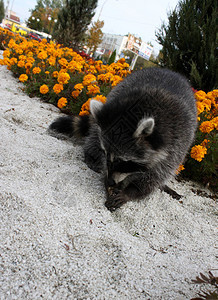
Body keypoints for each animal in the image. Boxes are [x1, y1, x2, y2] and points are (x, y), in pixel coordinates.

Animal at [49, 68, 198, 211]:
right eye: (105, 154)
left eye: (122, 161)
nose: (110, 182)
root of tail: (169, 71)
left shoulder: (177, 143)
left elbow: (156, 175)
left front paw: (132, 191)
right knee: (94, 134)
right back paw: (91, 155)